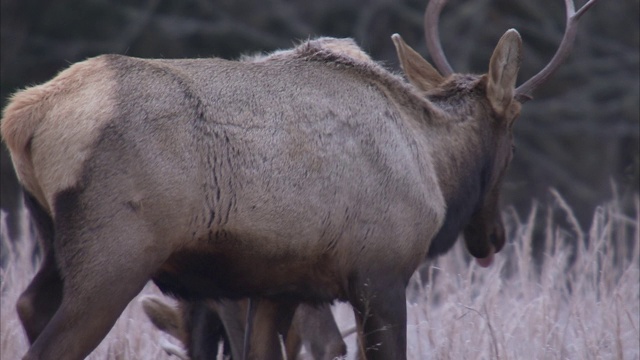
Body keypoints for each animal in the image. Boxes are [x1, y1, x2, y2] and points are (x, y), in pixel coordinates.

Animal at [1, 0, 600, 358]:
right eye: (513, 139)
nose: (494, 236)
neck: (432, 163)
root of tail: (24, 116)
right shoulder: (380, 273)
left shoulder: (278, 288)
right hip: (118, 252)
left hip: (53, 240)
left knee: (28, 305)